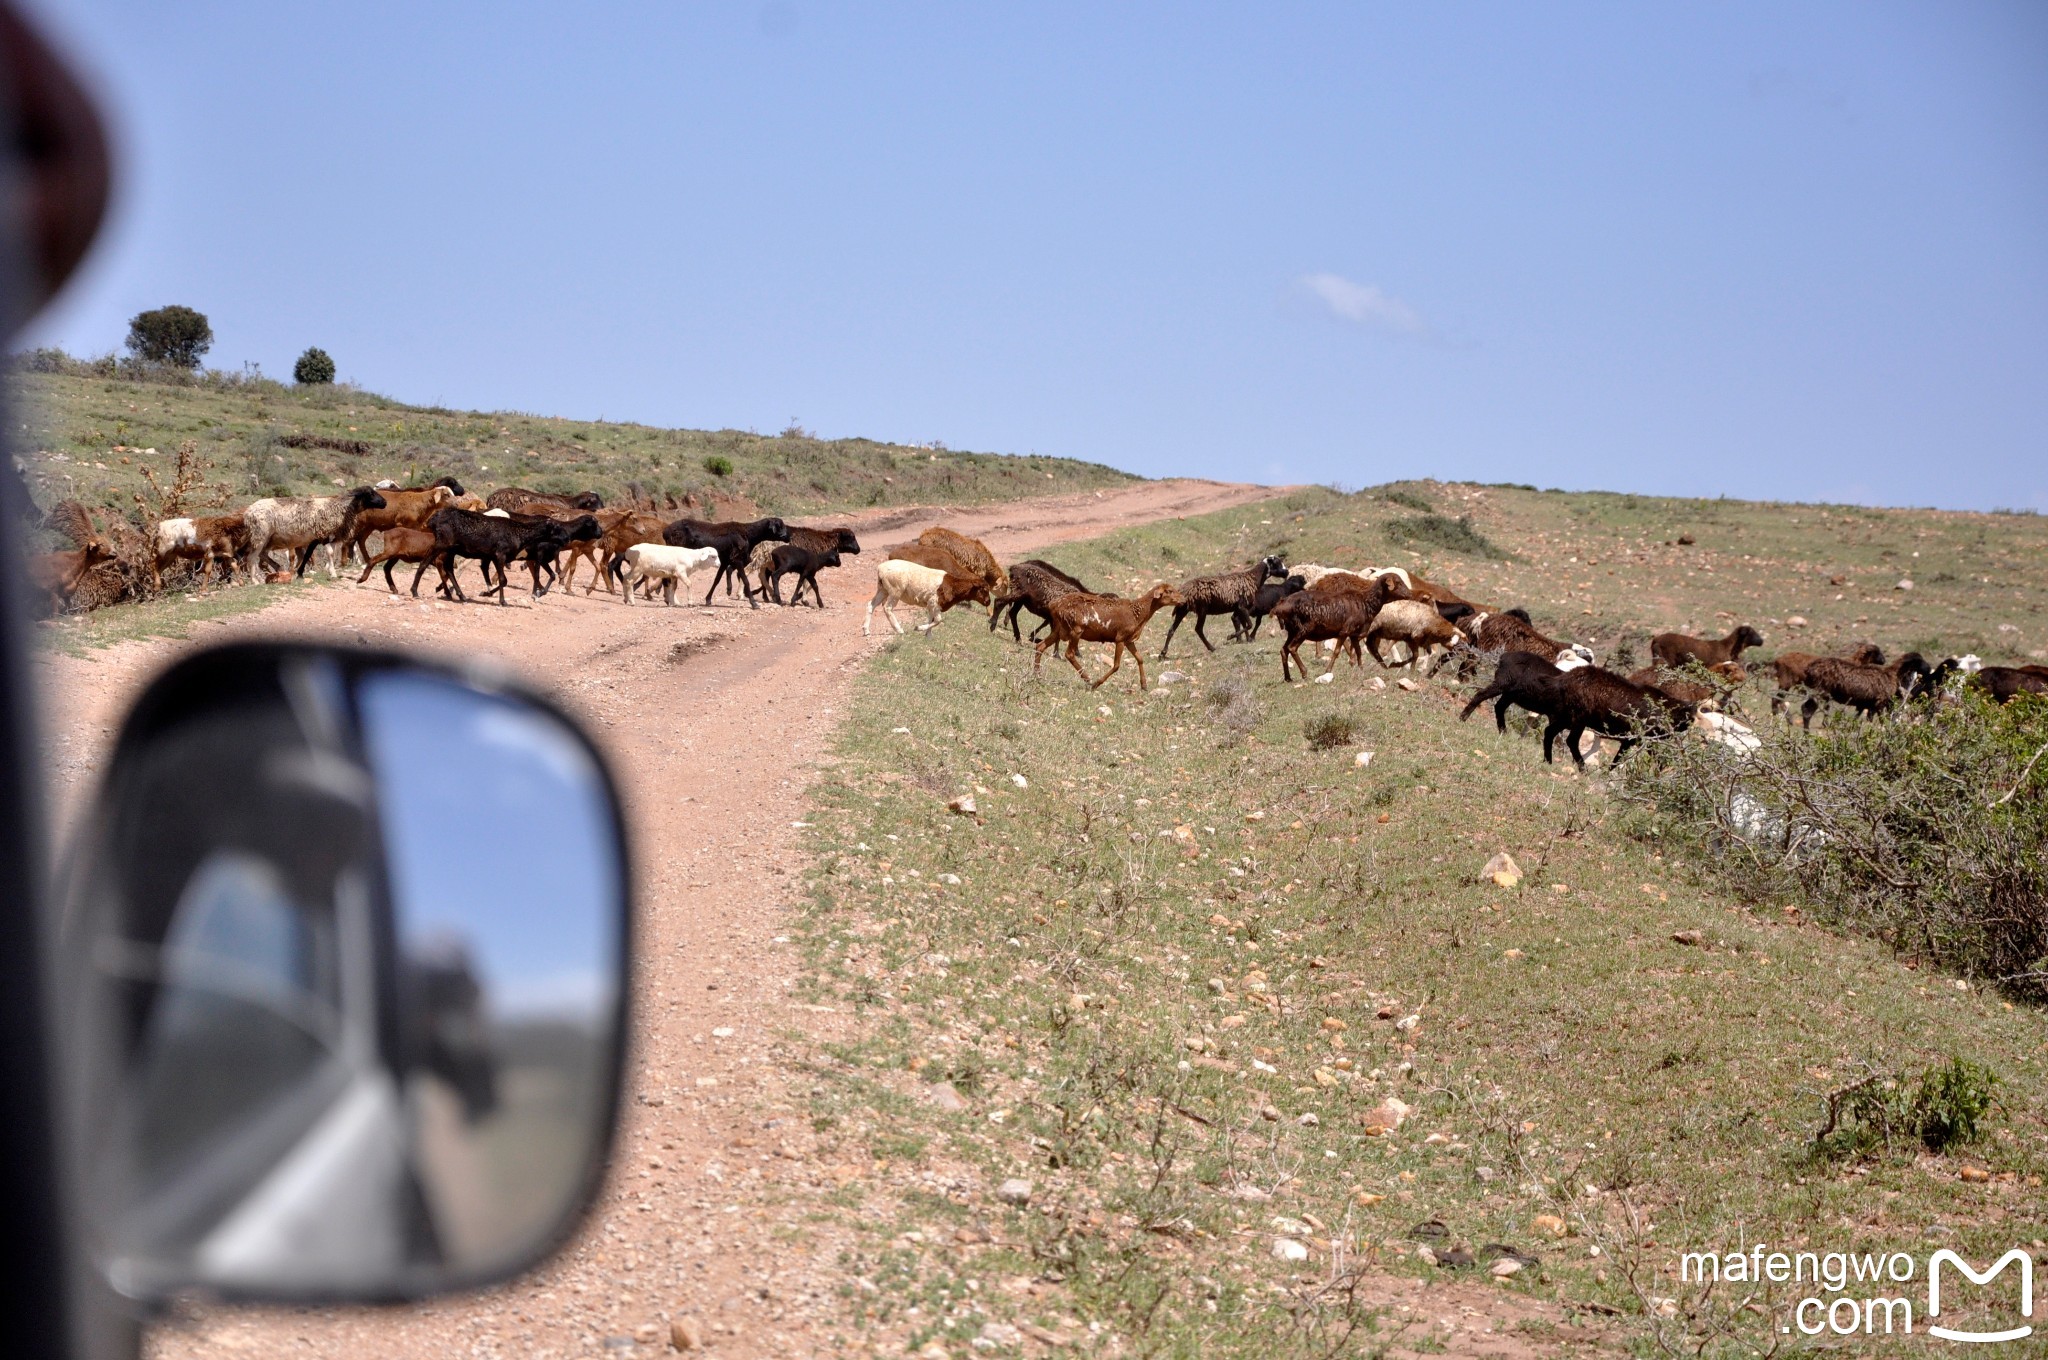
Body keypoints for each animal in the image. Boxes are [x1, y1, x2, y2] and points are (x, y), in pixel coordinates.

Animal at [1040, 581, 1187, 692]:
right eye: (1169, 591)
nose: (1184, 600)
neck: (1138, 614)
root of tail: (1053, 605)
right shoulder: (1120, 638)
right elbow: (1116, 665)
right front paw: (1096, 684)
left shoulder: (1129, 640)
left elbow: (1140, 659)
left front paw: (1144, 685)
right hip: (1076, 630)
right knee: (1069, 654)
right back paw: (1088, 679)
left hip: (1060, 629)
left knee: (1040, 646)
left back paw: (1037, 674)